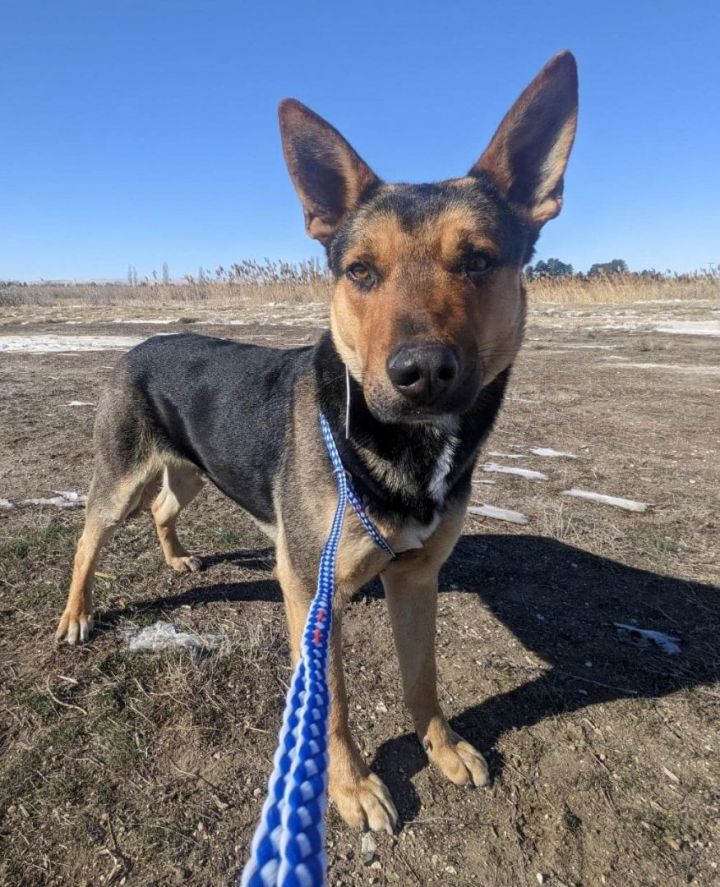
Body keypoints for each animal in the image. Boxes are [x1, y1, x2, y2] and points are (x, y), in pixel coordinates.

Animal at [60, 53, 580, 832]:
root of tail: (141, 342)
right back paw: (76, 614)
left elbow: (423, 678)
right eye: (360, 270)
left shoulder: (417, 577)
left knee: (163, 508)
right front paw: (351, 786)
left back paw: (178, 558)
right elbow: (328, 701)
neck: (402, 447)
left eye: (480, 260)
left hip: (192, 470)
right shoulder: (312, 588)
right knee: (89, 537)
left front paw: (442, 747)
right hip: (119, 477)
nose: (421, 372)